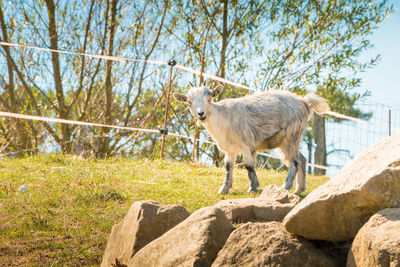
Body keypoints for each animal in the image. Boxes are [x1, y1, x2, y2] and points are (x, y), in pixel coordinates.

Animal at [173, 86, 330, 195]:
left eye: (209, 99)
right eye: (189, 102)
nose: (201, 114)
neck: (223, 118)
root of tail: (305, 102)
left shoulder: (246, 144)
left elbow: (248, 166)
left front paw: (253, 187)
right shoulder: (230, 150)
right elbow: (228, 167)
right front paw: (224, 189)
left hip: (291, 136)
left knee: (295, 162)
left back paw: (286, 186)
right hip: (290, 139)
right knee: (302, 159)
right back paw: (299, 189)